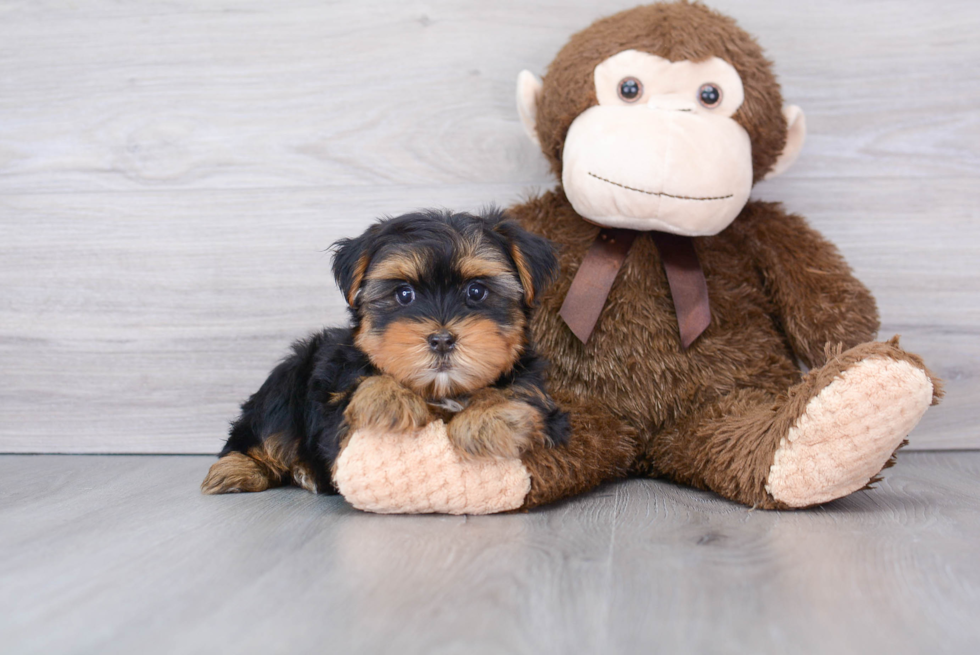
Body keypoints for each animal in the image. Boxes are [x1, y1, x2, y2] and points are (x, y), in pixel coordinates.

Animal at [201, 210, 568, 498]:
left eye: (476, 291)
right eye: (404, 294)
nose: (442, 340)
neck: (440, 390)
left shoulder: (544, 407)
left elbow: (521, 398)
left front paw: (487, 419)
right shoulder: (337, 426)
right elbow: (361, 392)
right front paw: (388, 398)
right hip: (290, 377)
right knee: (262, 429)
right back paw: (238, 470)